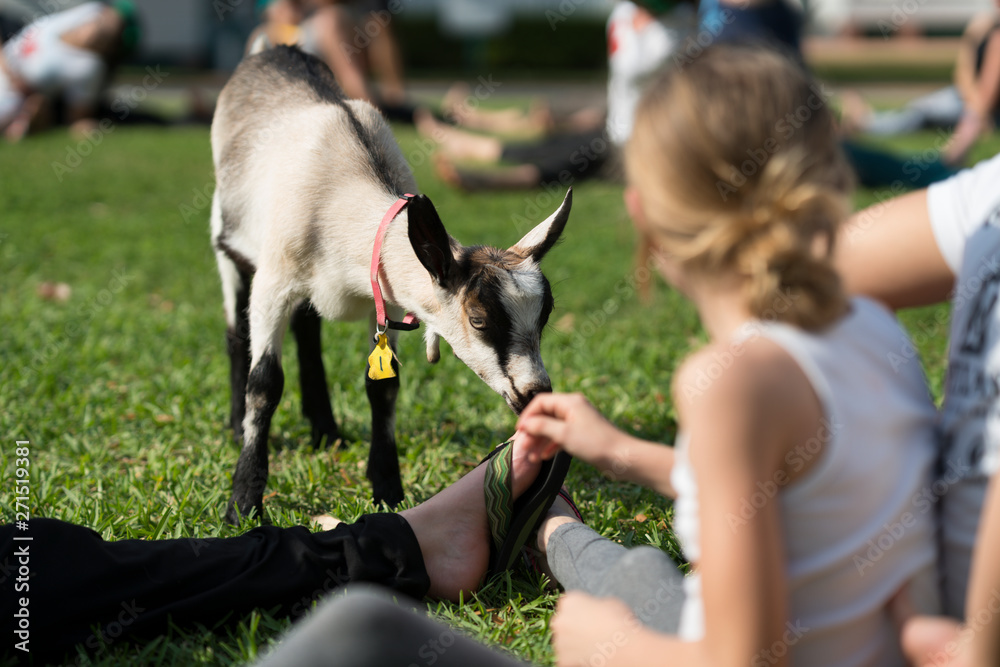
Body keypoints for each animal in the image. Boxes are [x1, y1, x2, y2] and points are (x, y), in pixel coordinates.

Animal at [211, 48, 572, 528]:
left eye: (545, 315)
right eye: (478, 319)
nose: (535, 393)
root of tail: (273, 51)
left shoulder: (380, 300)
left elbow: (383, 386)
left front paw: (387, 488)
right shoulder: (274, 282)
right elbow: (265, 383)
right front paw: (243, 503)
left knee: (308, 332)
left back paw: (325, 429)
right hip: (227, 242)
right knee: (237, 334)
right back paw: (238, 426)